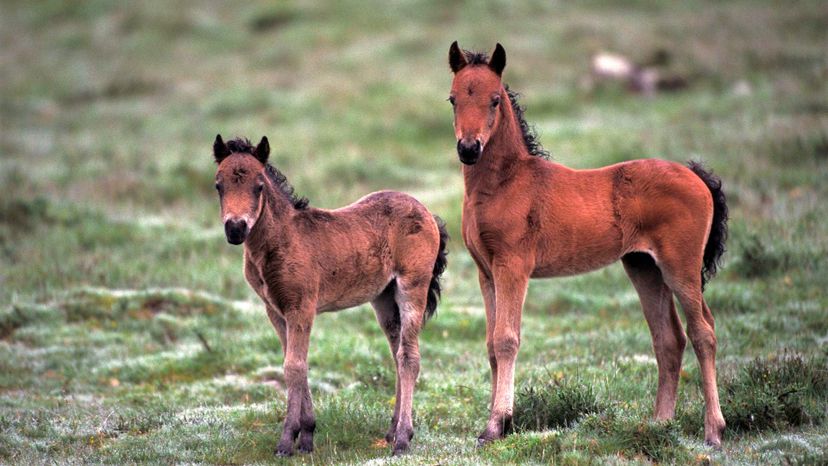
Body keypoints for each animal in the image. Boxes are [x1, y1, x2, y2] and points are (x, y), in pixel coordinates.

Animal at [213, 135, 446, 456]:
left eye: (258, 186)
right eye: (218, 185)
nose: (235, 229)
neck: (281, 239)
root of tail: (427, 212)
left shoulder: (301, 306)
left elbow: (294, 366)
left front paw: (287, 441)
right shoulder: (275, 310)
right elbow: (294, 363)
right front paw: (307, 436)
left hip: (412, 286)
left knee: (409, 356)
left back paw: (402, 439)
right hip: (384, 299)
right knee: (397, 353)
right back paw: (392, 431)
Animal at [450, 42, 728, 448]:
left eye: (494, 100)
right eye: (453, 99)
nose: (469, 149)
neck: (505, 183)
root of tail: (695, 176)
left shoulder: (513, 266)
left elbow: (506, 339)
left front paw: (497, 425)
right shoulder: (485, 272)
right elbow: (490, 345)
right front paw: (495, 424)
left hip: (680, 267)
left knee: (702, 332)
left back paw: (713, 431)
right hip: (644, 267)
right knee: (668, 339)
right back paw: (659, 425)